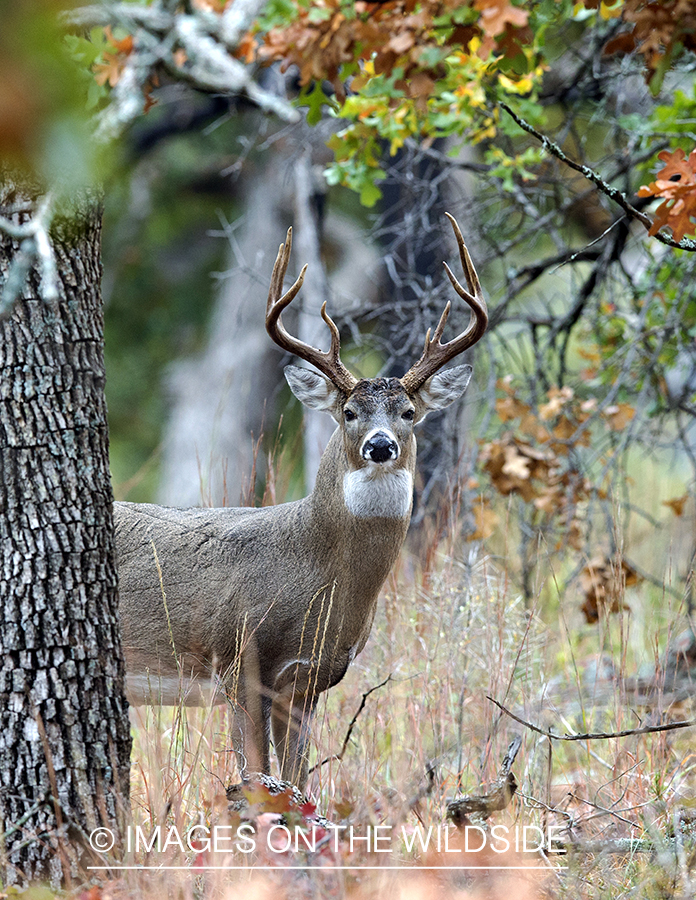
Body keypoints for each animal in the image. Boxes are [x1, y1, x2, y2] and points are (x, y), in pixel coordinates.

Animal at [114, 211, 486, 788]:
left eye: (408, 412)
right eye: (349, 412)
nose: (381, 445)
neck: (318, 576)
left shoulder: (309, 683)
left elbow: (297, 782)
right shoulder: (239, 664)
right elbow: (255, 779)